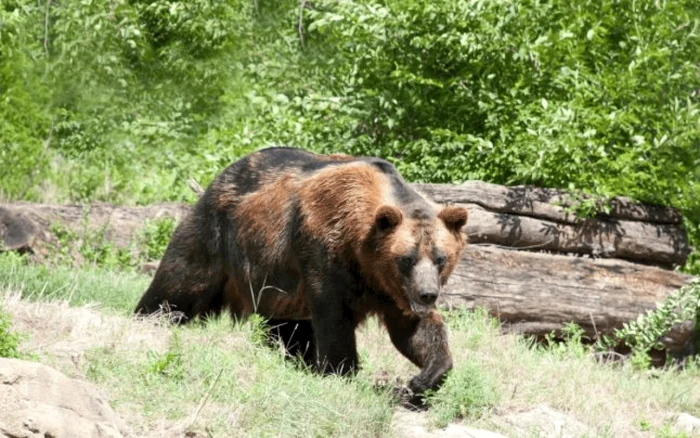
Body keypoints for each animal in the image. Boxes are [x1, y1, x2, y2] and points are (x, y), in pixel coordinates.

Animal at [134, 148, 468, 404]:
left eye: (440, 257)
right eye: (406, 258)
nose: (428, 294)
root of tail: (218, 179)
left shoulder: (391, 290)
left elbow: (415, 331)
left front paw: (421, 380)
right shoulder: (325, 253)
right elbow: (334, 317)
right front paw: (340, 371)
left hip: (276, 284)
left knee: (287, 326)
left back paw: (296, 359)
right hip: (216, 237)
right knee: (179, 284)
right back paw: (150, 317)